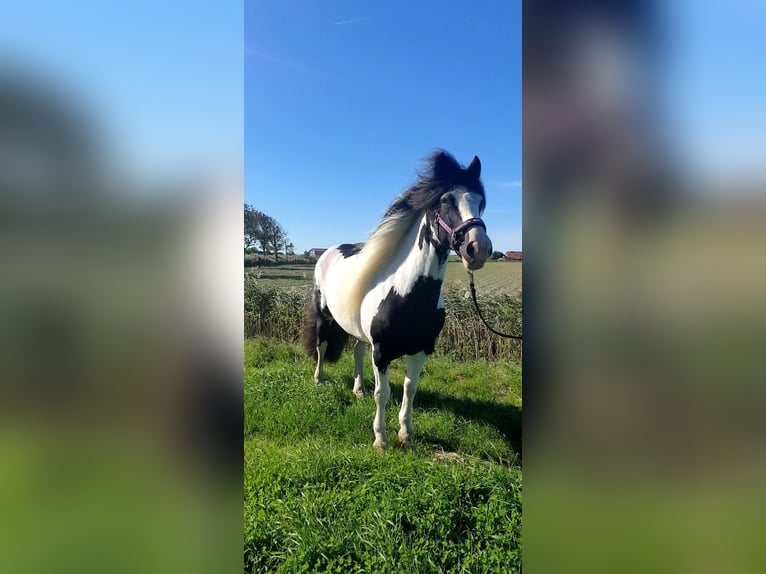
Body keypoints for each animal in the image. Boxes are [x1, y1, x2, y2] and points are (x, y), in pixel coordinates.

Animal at [303, 150, 492, 449]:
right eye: (446, 200)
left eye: (480, 202)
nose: (478, 248)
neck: (408, 296)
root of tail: (327, 252)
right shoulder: (382, 352)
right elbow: (384, 393)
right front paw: (380, 439)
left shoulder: (423, 349)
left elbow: (409, 388)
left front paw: (406, 432)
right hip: (324, 316)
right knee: (322, 347)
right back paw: (319, 380)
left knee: (358, 351)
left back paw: (358, 390)